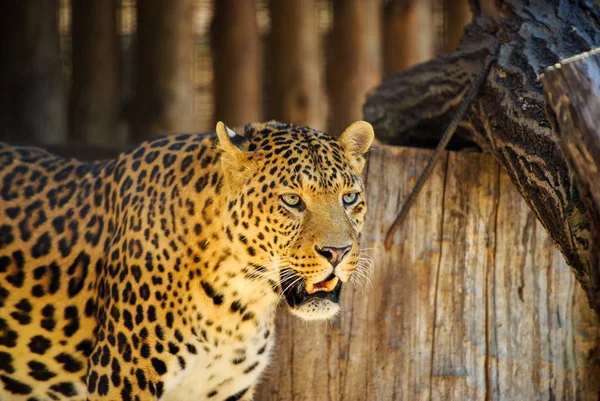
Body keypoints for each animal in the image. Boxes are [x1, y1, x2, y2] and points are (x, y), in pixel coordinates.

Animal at [0, 119, 372, 400]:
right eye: (292, 200)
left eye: (349, 198)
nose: (338, 252)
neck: (238, 303)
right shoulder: (121, 378)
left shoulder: (226, 389)